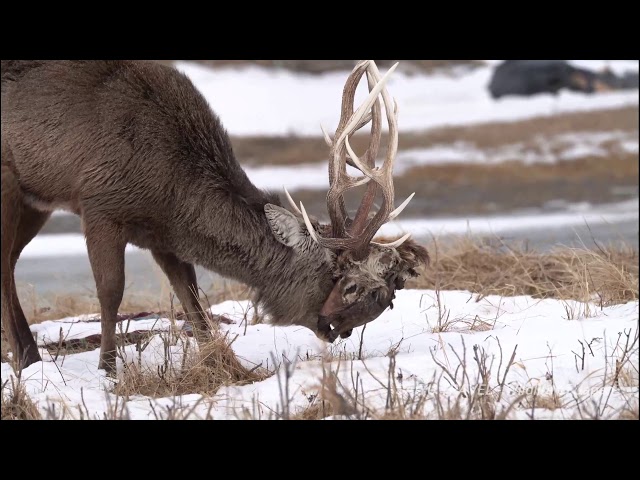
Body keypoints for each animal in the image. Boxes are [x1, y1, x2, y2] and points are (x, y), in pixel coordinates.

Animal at [1, 59, 429, 375]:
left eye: (386, 298)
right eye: (347, 282)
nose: (337, 330)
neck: (170, 192)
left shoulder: (164, 237)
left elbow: (192, 299)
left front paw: (226, 367)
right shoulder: (100, 204)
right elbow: (110, 292)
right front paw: (108, 371)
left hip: (35, 202)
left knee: (10, 262)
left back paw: (28, 355)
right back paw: (24, 356)